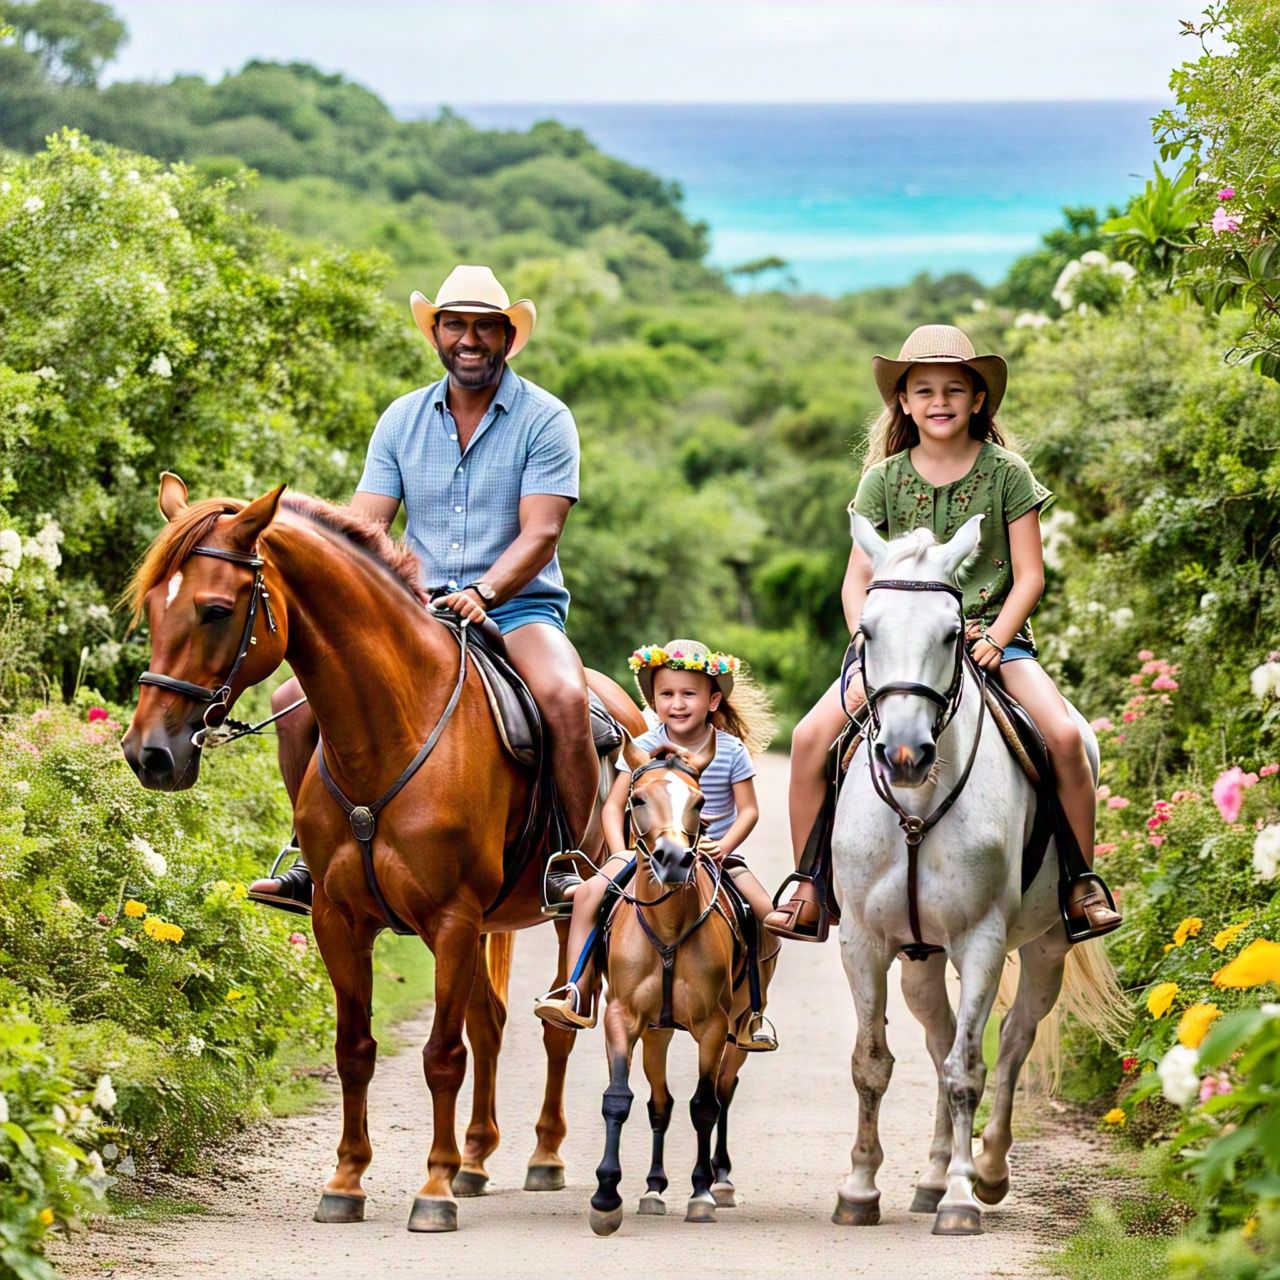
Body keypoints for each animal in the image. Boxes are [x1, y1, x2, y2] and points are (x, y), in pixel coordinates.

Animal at [120, 476, 645, 1233]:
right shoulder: (339, 922)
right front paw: (347, 1180)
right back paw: (476, 1161)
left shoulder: (452, 921)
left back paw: (541, 1157)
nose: (149, 754)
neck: (391, 729)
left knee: (553, 1032)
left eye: (216, 610)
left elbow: (441, 1057)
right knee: (490, 1025)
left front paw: (433, 1190)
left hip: (562, 912)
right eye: (152, 609)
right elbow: (356, 1050)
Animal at [586, 747, 773, 1233]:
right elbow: (619, 1099)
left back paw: (720, 1181)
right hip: (658, 1033)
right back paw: (653, 1188)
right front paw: (606, 1196)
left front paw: (701, 1192)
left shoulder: (713, 1027)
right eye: (637, 800)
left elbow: (704, 1105)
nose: (673, 858)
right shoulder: (622, 1018)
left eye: (700, 801)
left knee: (724, 1090)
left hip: (739, 1030)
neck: (669, 927)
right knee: (661, 1102)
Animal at [829, 514, 1121, 1233]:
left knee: (1012, 1043)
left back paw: (984, 1173)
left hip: (1045, 948)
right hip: (921, 959)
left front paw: (962, 1201)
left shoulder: (983, 942)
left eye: (952, 634)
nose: (905, 756)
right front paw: (859, 1189)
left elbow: (969, 1069)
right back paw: (933, 1177)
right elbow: (872, 1064)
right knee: (936, 1043)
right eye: (867, 630)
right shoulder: (863, 943)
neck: (916, 807)